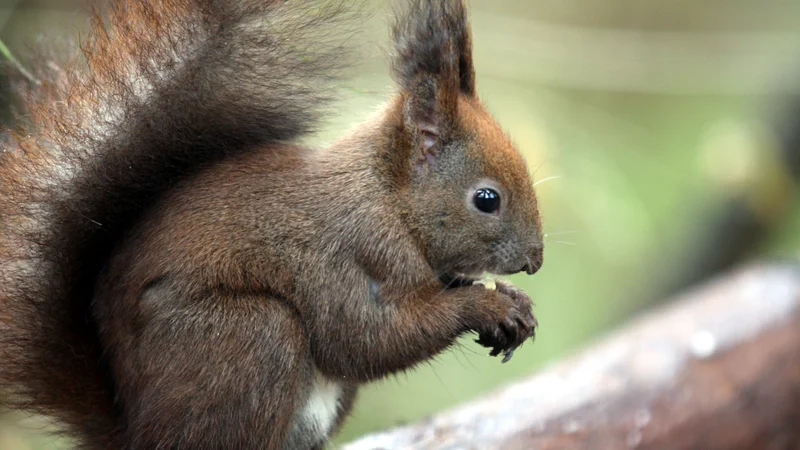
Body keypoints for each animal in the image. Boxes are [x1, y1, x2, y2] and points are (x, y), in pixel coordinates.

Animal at [0, 0, 544, 450]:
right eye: (487, 199)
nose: (535, 262)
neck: (388, 200)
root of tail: (132, 432)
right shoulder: (347, 251)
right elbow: (368, 340)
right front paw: (487, 306)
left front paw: (514, 302)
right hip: (249, 337)